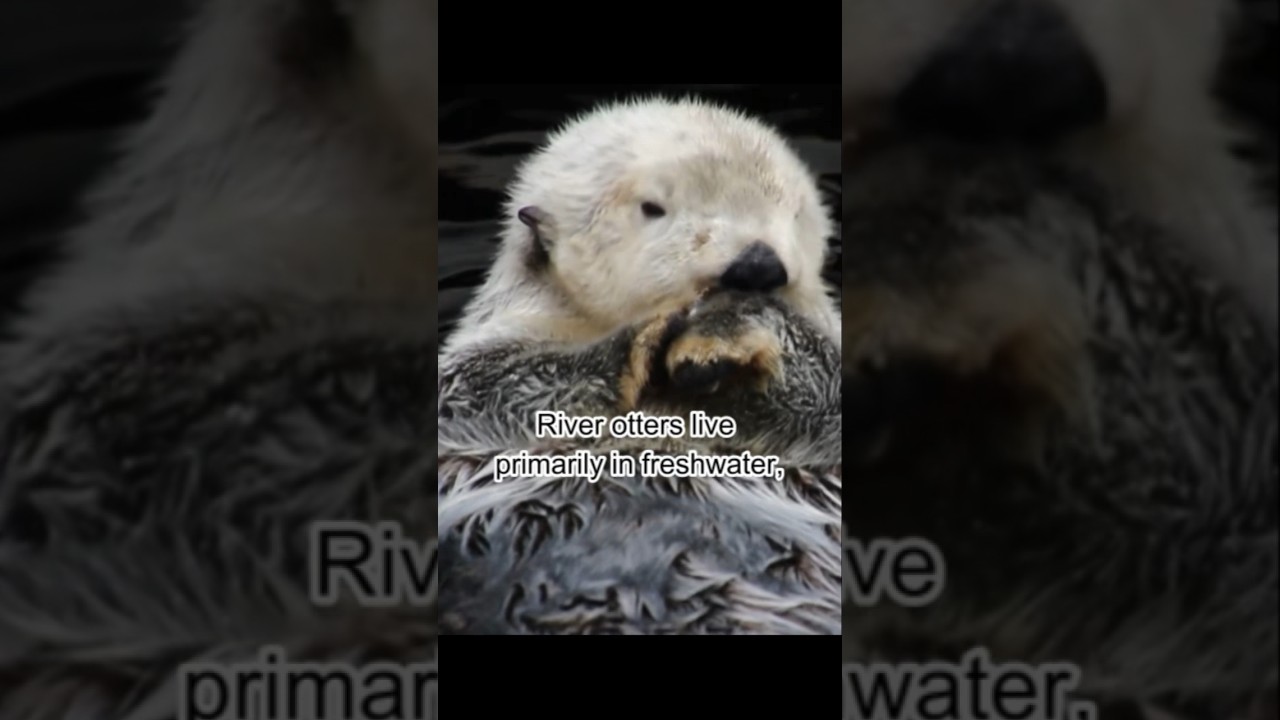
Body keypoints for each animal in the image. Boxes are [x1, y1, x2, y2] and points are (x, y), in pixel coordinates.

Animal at [437, 97, 844, 635]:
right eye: (653, 208)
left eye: (793, 212)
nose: (757, 265)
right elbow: (470, 387)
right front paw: (637, 339)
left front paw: (731, 327)